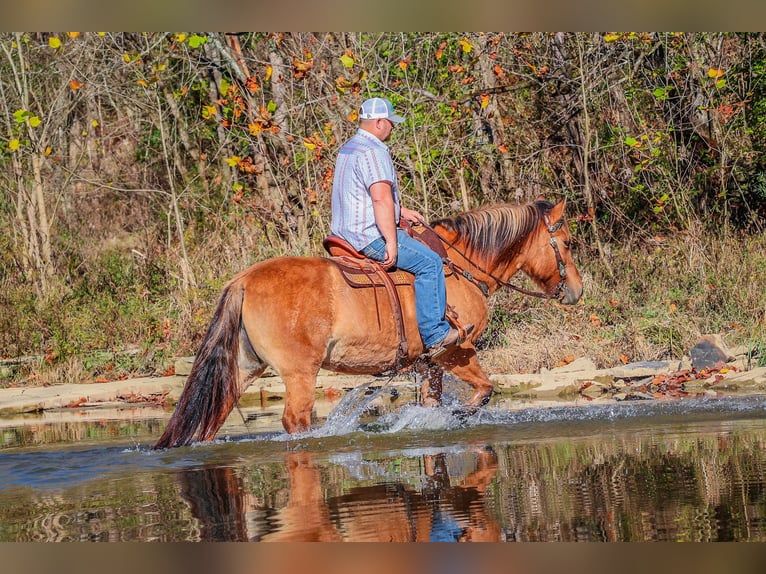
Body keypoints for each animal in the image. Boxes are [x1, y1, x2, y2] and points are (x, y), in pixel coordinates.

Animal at [154, 198, 583, 449]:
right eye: (565, 243)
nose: (576, 290)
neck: (458, 266)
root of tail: (242, 280)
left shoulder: (429, 363)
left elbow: (435, 401)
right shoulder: (455, 351)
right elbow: (484, 392)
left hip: (241, 369)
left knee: (212, 417)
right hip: (299, 372)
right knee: (297, 420)